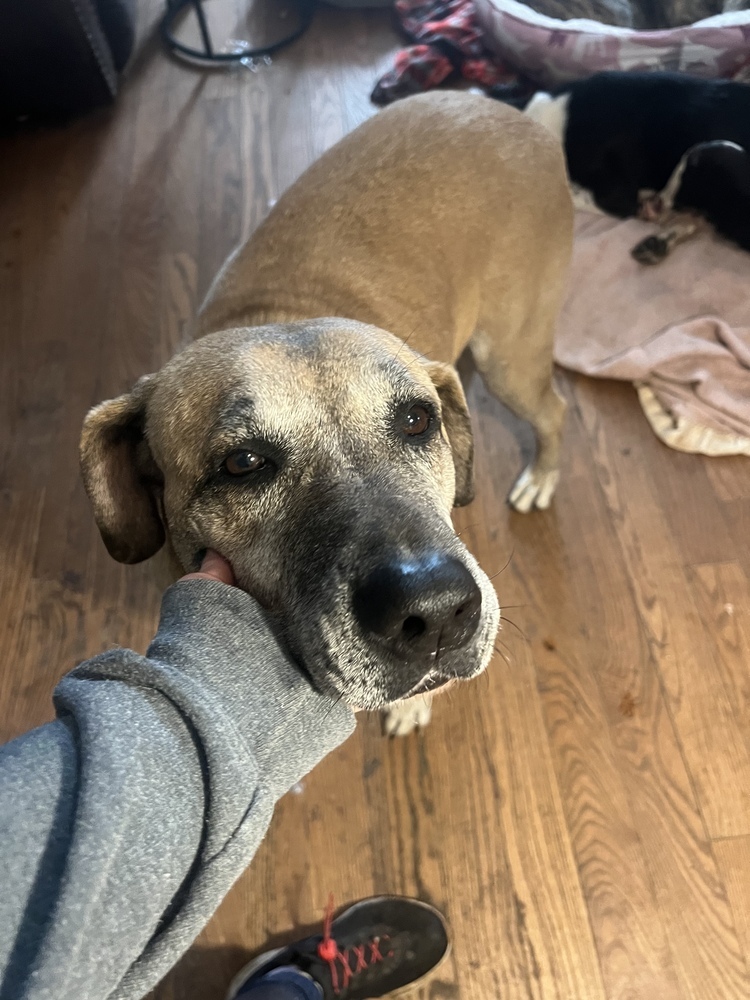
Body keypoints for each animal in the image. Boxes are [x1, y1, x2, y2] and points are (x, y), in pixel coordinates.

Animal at [79, 94, 572, 736]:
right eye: (244, 463)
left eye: (417, 420)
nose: (437, 611)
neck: (282, 311)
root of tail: (522, 117)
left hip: (509, 358)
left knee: (555, 409)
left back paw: (541, 477)